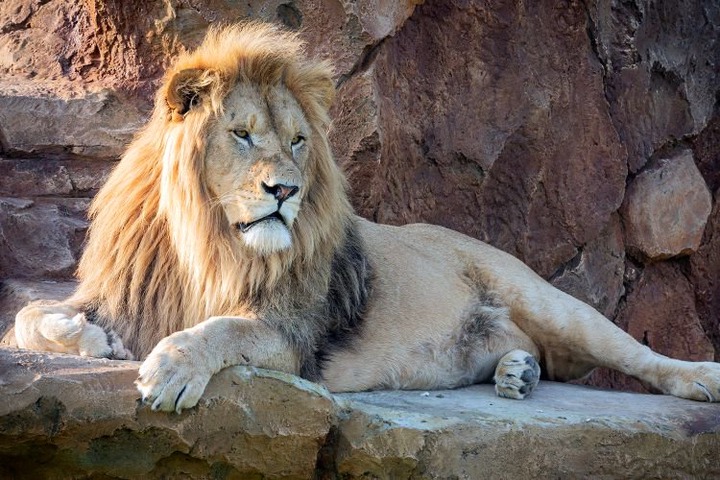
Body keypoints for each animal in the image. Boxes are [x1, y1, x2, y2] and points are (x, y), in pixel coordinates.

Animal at [14, 22, 720, 412]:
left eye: (298, 141)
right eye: (242, 134)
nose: (284, 190)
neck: (205, 242)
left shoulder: (290, 334)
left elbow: (218, 329)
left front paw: (171, 369)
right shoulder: (124, 295)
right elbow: (25, 318)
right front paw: (95, 342)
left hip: (545, 298)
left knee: (635, 354)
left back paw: (699, 379)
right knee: (525, 351)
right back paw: (516, 372)